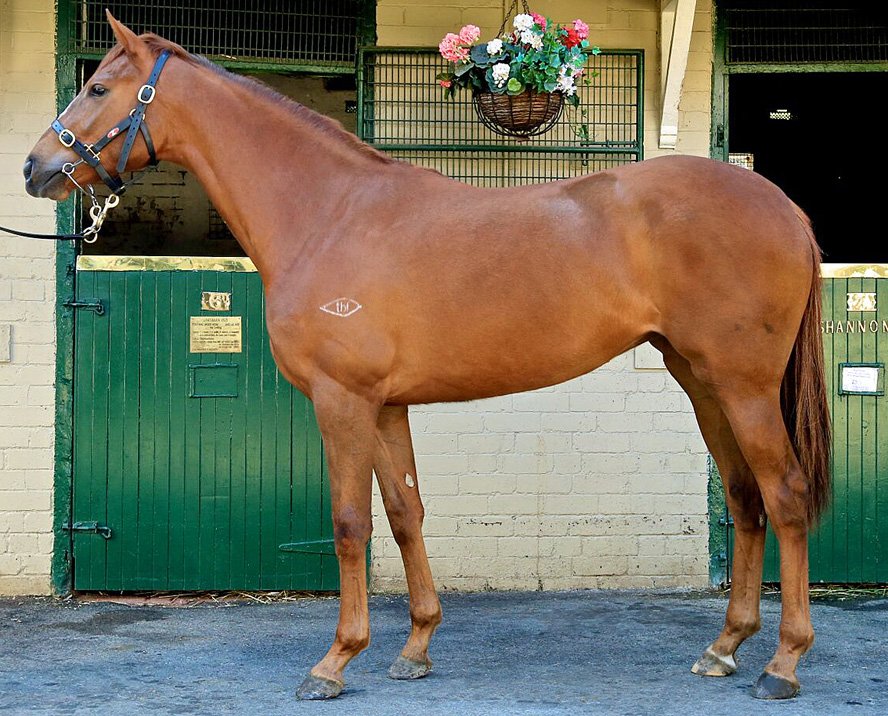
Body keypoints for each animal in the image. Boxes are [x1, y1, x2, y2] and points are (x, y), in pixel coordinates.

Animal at [23, 14, 831, 702]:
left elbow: (351, 522)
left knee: (785, 495)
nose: (35, 167)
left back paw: (784, 663)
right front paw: (414, 648)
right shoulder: (386, 405)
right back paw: (724, 647)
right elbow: (405, 512)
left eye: (98, 88)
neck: (328, 211)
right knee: (746, 498)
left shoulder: (341, 400)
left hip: (744, 386)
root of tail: (784, 207)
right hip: (703, 382)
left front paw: (335, 661)